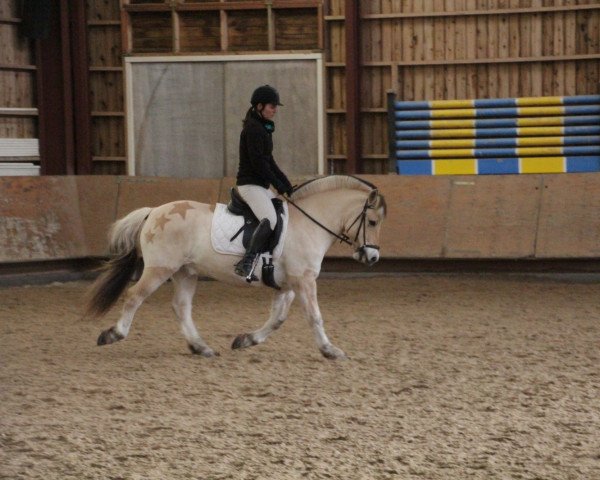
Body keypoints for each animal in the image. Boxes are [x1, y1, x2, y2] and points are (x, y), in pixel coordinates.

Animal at [86, 174, 386, 358]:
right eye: (372, 222)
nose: (372, 257)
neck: (309, 223)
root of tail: (154, 212)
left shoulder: (289, 284)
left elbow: (277, 319)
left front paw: (246, 340)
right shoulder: (304, 280)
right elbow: (315, 316)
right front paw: (330, 350)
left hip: (185, 272)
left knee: (181, 307)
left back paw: (201, 347)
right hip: (160, 269)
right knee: (134, 296)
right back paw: (113, 334)